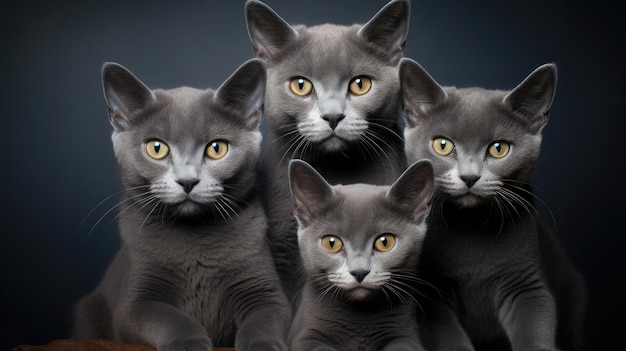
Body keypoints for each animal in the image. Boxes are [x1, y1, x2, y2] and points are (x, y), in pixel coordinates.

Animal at [72, 59, 292, 350]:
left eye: (217, 148)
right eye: (156, 148)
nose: (188, 181)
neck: (194, 236)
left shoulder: (261, 287)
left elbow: (265, 319)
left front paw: (263, 345)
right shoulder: (136, 300)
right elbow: (169, 318)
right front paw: (190, 342)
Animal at [400, 56, 584, 350]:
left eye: (499, 148)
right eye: (442, 145)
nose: (469, 176)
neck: (472, 226)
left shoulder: (527, 285)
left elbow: (534, 328)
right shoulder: (432, 293)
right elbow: (449, 338)